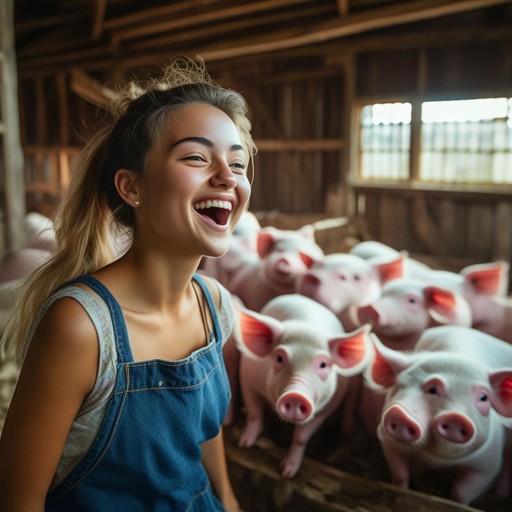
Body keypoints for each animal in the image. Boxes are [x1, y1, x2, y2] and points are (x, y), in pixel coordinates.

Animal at [234, 294, 370, 478]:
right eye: (279, 358)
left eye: (323, 364)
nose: (295, 395)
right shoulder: (246, 377)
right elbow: (254, 413)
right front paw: (244, 444)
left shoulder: (327, 408)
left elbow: (301, 438)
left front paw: (287, 473)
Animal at [366, 324, 512, 504]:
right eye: (400, 384)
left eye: (484, 398)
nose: (400, 413)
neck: (434, 459)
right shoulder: (390, 443)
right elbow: (400, 476)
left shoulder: (487, 464)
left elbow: (461, 494)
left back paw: (501, 495)